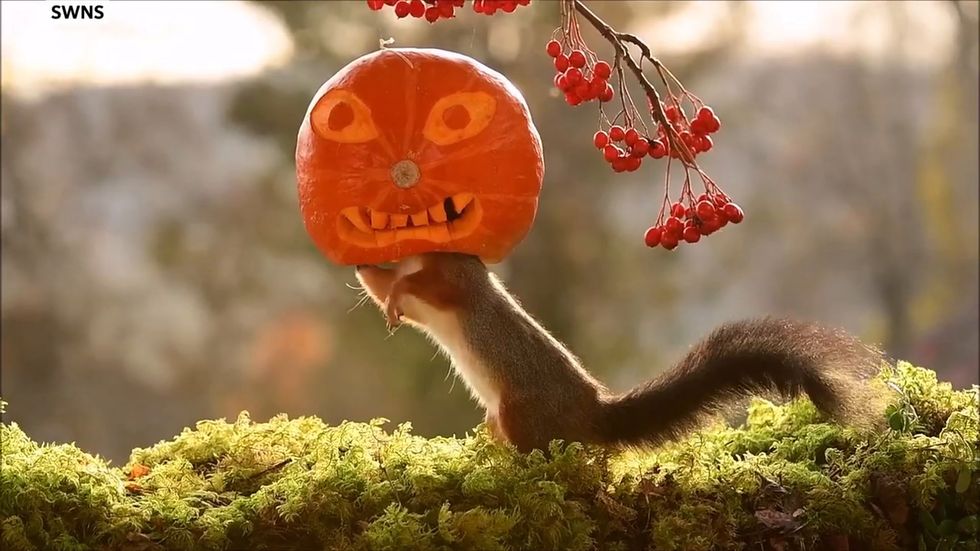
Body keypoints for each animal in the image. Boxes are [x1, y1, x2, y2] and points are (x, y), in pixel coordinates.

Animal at [355, 252, 885, 453]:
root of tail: (591, 411)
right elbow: (392, 291)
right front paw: (371, 274)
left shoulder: (457, 282)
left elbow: (423, 287)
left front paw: (395, 288)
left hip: (520, 413)